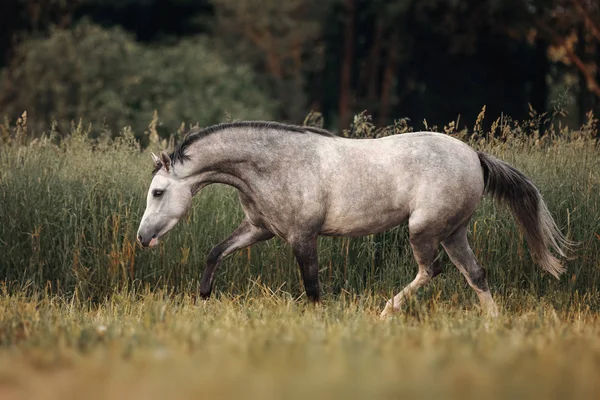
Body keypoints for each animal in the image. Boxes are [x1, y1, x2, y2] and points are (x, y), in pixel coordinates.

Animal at [134, 120, 568, 318]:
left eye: (158, 192)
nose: (142, 238)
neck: (273, 164)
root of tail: (475, 156)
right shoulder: (260, 230)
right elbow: (215, 252)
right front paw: (202, 299)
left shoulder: (302, 236)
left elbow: (312, 287)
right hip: (453, 231)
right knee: (475, 274)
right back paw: (492, 325)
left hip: (423, 229)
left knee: (433, 270)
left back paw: (386, 311)